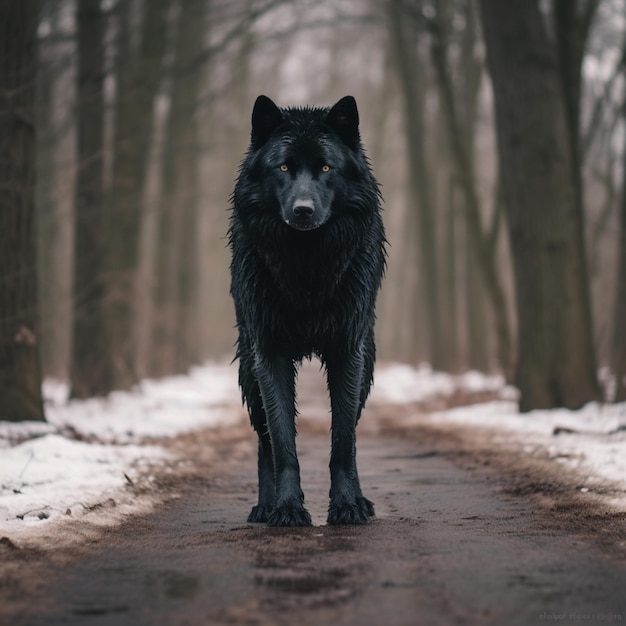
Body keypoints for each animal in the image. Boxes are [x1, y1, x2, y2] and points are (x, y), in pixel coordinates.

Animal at [229, 95, 386, 524]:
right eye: (283, 167)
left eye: (326, 168)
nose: (302, 210)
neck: (306, 264)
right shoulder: (270, 353)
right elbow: (283, 441)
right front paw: (286, 507)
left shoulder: (348, 351)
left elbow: (343, 439)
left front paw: (347, 504)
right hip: (249, 369)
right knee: (264, 440)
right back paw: (265, 506)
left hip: (367, 366)